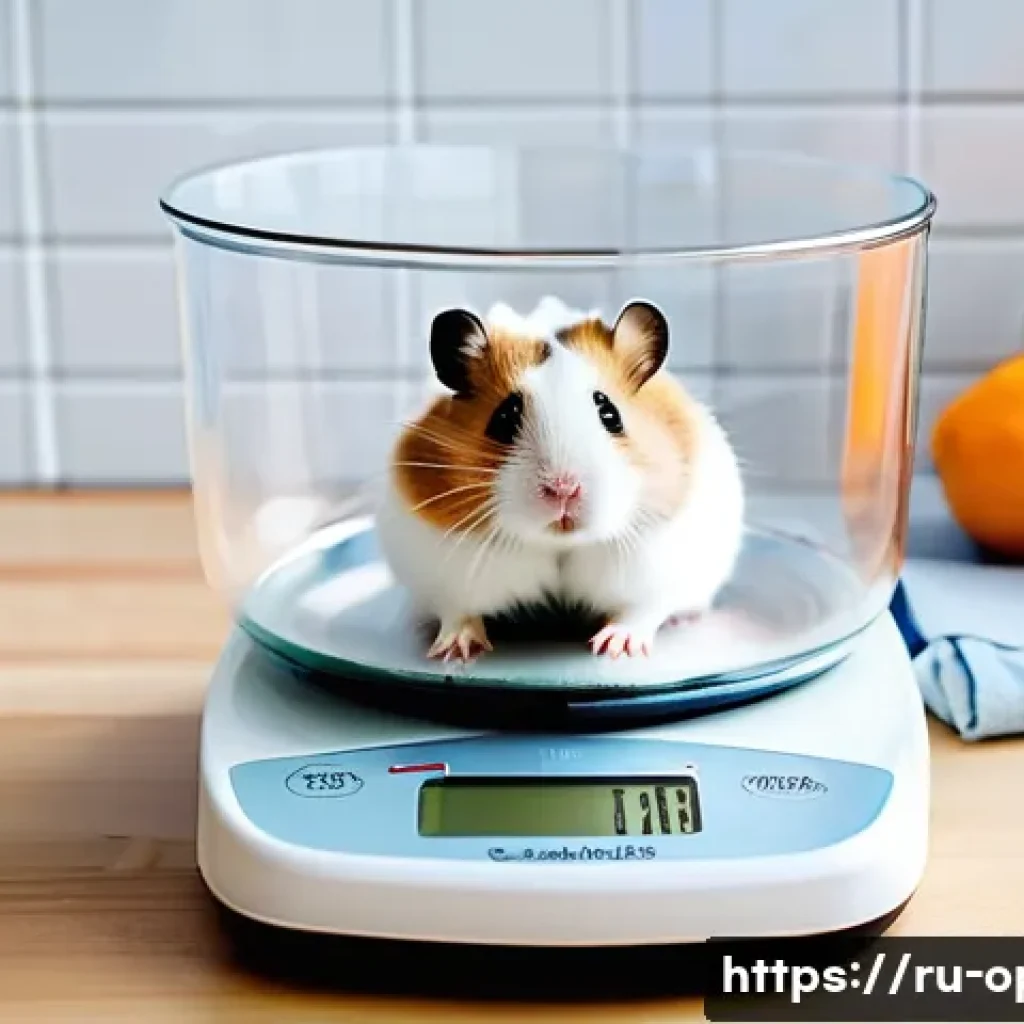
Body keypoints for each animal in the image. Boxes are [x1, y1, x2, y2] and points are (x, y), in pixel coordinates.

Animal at [375, 296, 744, 662]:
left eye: (610, 414)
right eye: (503, 419)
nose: (563, 489)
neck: (560, 543)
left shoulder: (657, 570)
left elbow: (640, 610)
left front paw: (615, 648)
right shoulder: (443, 572)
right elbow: (458, 610)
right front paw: (456, 652)